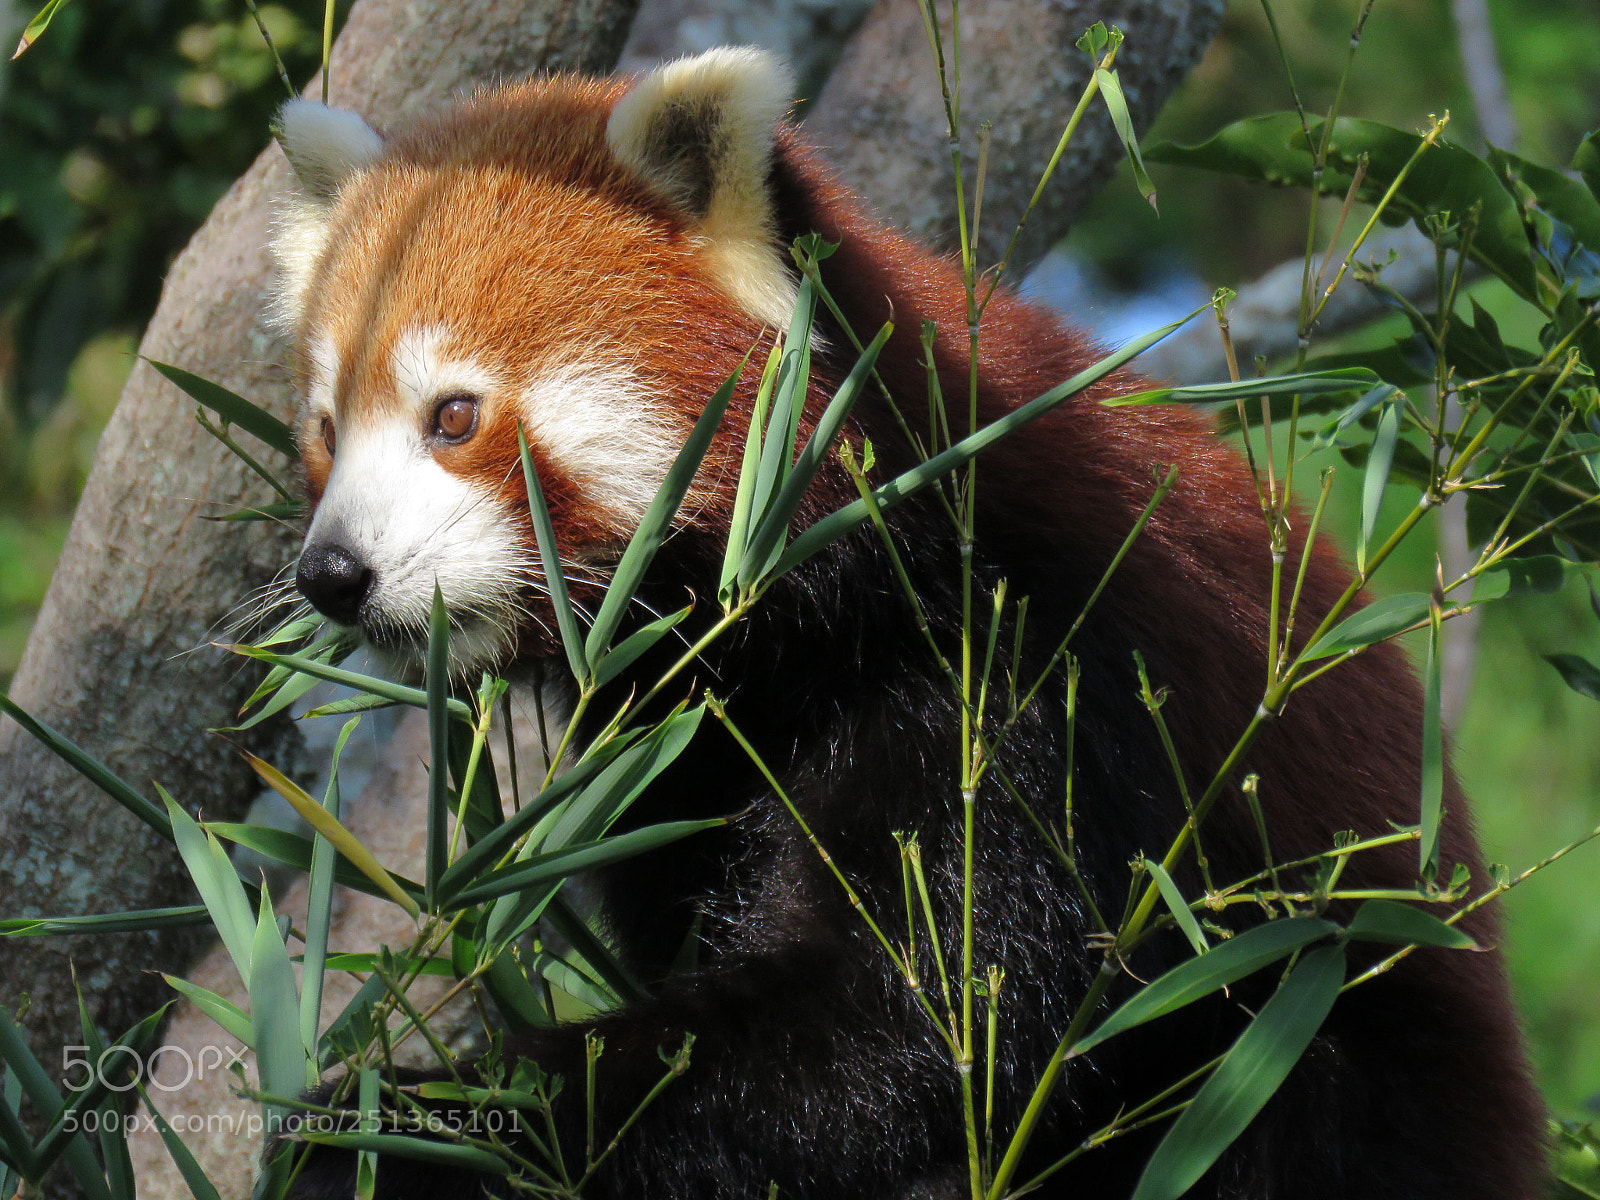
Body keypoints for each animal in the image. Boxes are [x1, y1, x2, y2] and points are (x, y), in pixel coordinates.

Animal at [270, 46, 1544, 1200]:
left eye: (453, 416)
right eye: (328, 429)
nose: (332, 573)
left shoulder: (1018, 672)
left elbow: (897, 1026)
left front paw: (413, 1126)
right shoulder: (675, 766)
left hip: (1325, 1017)